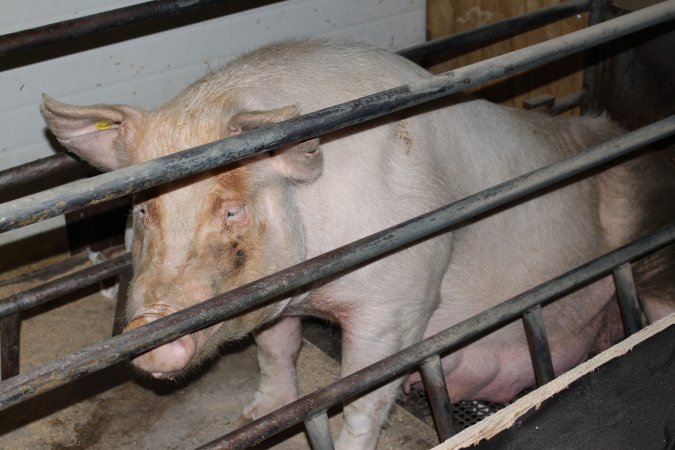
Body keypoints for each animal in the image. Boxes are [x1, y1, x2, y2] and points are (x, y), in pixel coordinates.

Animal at [38, 40, 675, 448]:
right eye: (144, 209)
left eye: (232, 209)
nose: (149, 330)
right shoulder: (276, 296)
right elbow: (276, 351)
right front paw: (257, 414)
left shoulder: (399, 300)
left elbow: (366, 390)